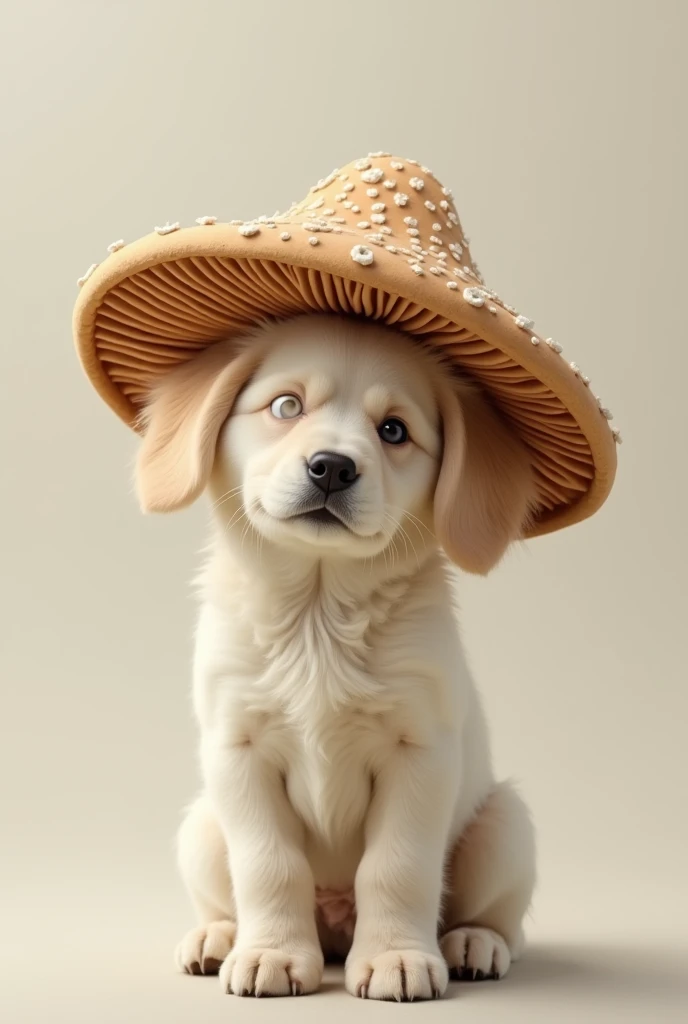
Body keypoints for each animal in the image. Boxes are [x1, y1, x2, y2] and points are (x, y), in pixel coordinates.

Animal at [136, 311, 536, 999]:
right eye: (286, 405)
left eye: (394, 430)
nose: (331, 467)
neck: (317, 617)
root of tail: (335, 925)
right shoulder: (237, 751)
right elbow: (269, 865)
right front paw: (270, 952)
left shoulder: (420, 752)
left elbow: (397, 866)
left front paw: (396, 956)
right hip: (201, 825)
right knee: (226, 893)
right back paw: (218, 936)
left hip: (506, 825)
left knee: (498, 920)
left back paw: (471, 942)